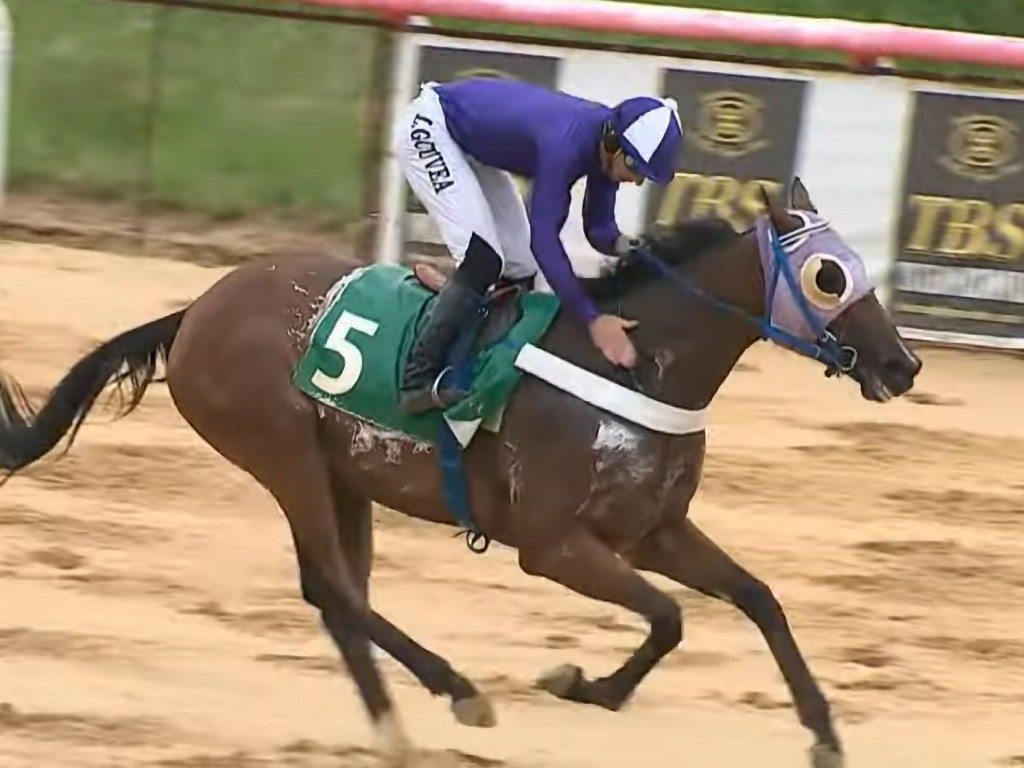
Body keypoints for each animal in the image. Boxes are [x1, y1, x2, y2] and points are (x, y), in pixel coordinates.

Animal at [0, 176, 921, 768]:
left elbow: (754, 599)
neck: (635, 365)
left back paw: (394, 731)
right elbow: (669, 617)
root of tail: (197, 308)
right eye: (828, 276)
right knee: (335, 590)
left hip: (345, 475)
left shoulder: (653, 529)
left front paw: (824, 731)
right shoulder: (552, 545)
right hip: (282, 451)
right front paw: (581, 682)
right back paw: (458, 690)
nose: (903, 364)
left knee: (337, 593)